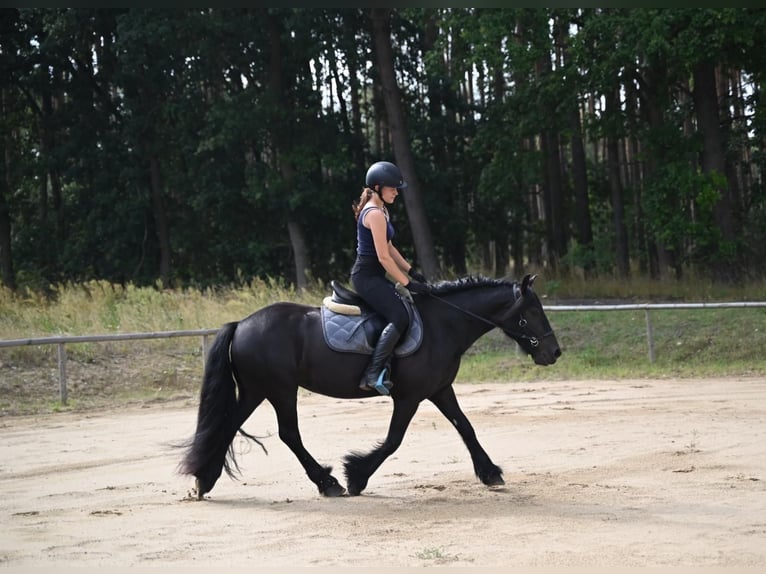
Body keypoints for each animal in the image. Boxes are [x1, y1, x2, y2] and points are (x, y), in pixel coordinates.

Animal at [179, 273, 561, 498]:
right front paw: (356, 476)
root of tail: (242, 324)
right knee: (288, 434)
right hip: (280, 391)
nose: (554, 352)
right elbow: (393, 440)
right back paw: (328, 483)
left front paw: (490, 473)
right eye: (532, 311)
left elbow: (465, 427)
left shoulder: (439, 390)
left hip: (256, 391)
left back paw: (204, 479)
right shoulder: (409, 397)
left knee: (229, 426)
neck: (442, 325)